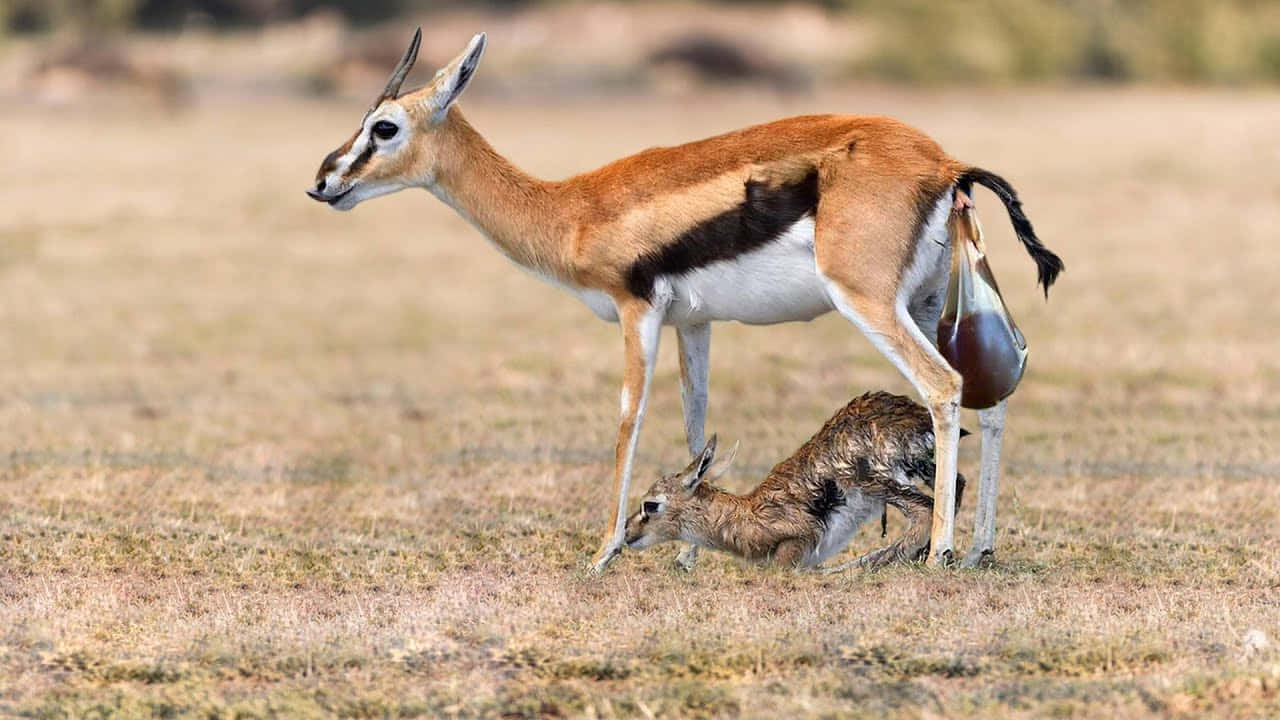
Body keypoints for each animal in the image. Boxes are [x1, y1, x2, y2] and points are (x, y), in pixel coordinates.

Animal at [624, 392, 967, 570]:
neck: (745, 515)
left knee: (925, 509)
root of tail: (915, 417)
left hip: (875, 482)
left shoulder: (796, 544)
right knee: (956, 486)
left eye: (650, 504)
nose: (626, 532)